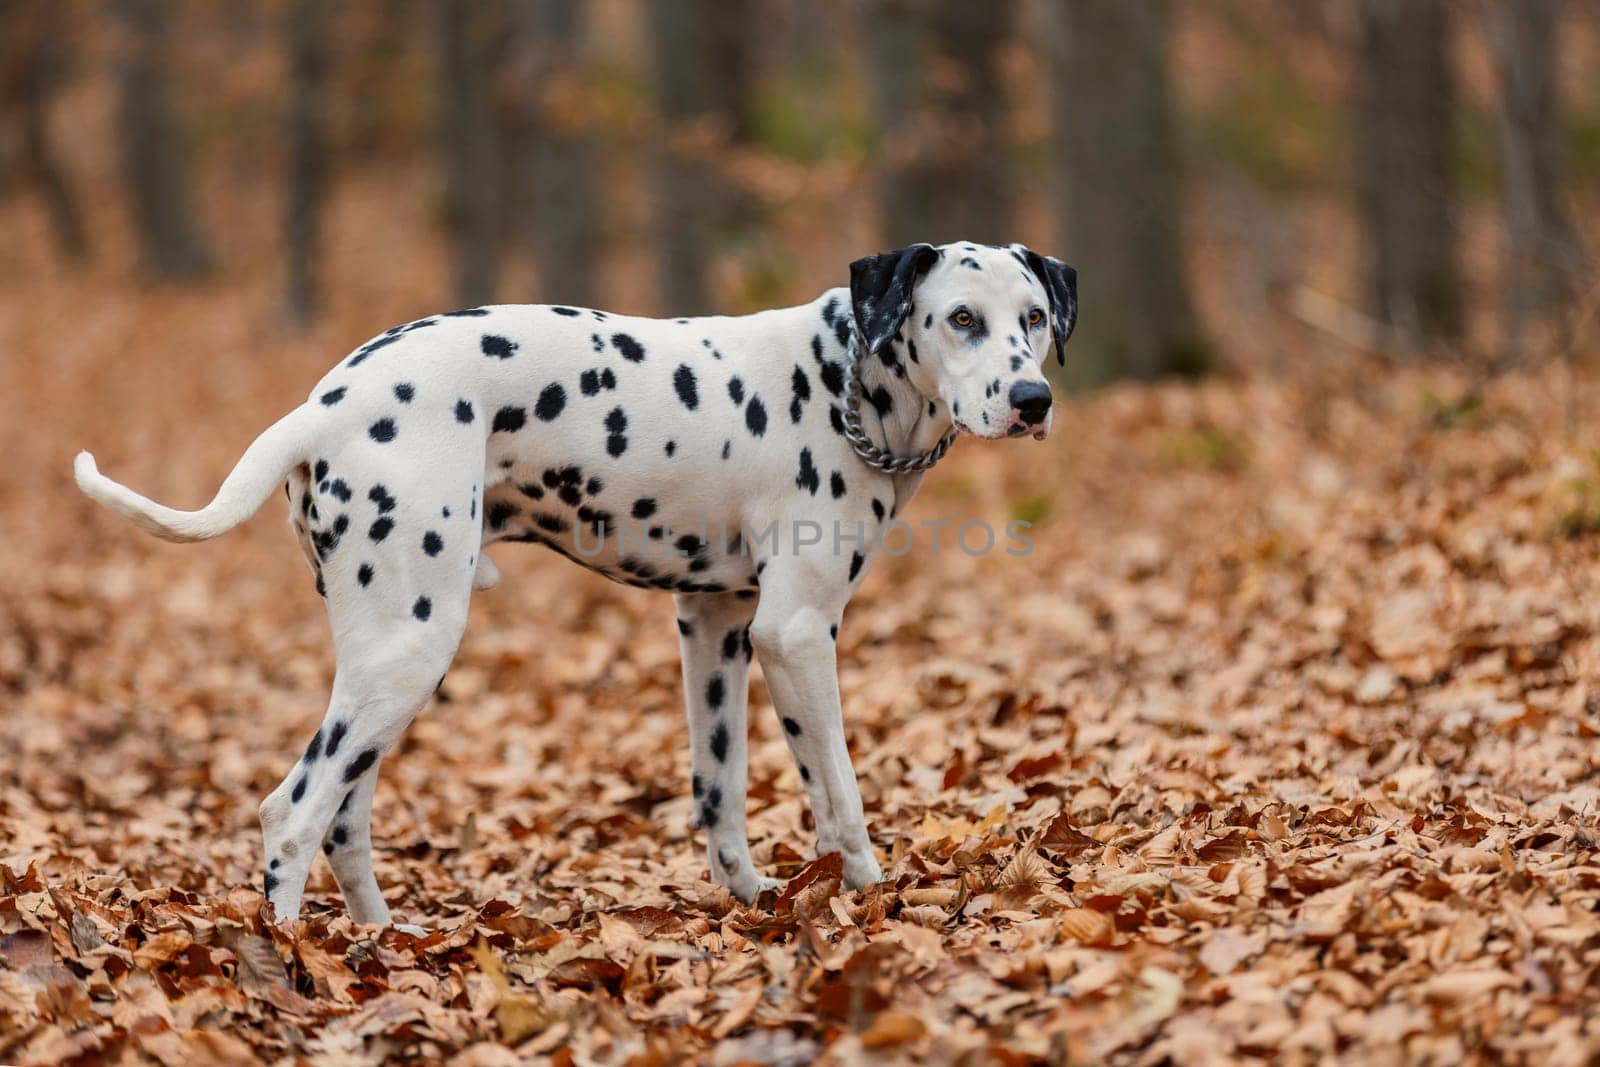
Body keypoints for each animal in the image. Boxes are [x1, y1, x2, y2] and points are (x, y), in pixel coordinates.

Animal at [72, 241, 1075, 927]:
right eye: (961, 318)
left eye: (1031, 316)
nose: (1034, 401)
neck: (840, 380)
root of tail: (326, 403)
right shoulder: (797, 632)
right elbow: (841, 794)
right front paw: (867, 897)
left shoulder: (718, 624)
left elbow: (722, 787)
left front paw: (754, 897)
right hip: (410, 649)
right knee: (292, 813)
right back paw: (291, 962)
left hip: (380, 661)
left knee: (343, 816)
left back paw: (378, 940)